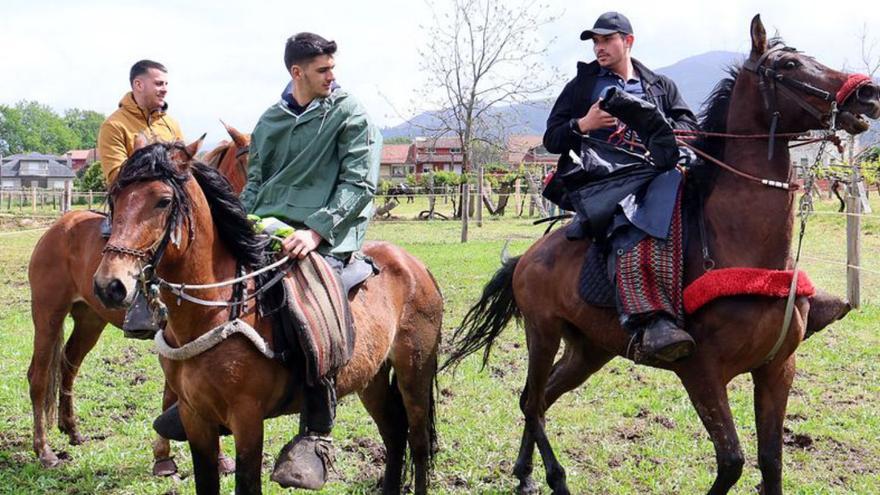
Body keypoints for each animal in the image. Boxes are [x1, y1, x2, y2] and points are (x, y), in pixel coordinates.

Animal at [27, 125, 248, 476]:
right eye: (116, 198)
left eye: (164, 201)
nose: (110, 285)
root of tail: (59, 227)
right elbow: (174, 396)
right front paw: (163, 457)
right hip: (47, 314)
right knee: (39, 375)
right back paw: (44, 450)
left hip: (90, 320)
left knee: (68, 364)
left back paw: (72, 430)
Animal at [93, 141, 444, 494]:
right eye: (115, 198)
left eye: (163, 201)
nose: (110, 285)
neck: (217, 310)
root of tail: (415, 266)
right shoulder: (195, 417)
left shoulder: (247, 418)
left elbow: (248, 483)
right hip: (372, 377)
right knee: (394, 433)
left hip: (414, 372)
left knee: (418, 440)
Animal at [446, 15, 880, 495]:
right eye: (788, 64)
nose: (867, 93)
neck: (738, 244)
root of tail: (525, 258)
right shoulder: (702, 373)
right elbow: (732, 461)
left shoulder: (777, 369)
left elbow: (771, 463)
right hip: (543, 332)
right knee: (532, 400)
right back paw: (554, 477)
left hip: (589, 349)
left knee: (538, 398)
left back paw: (525, 474)